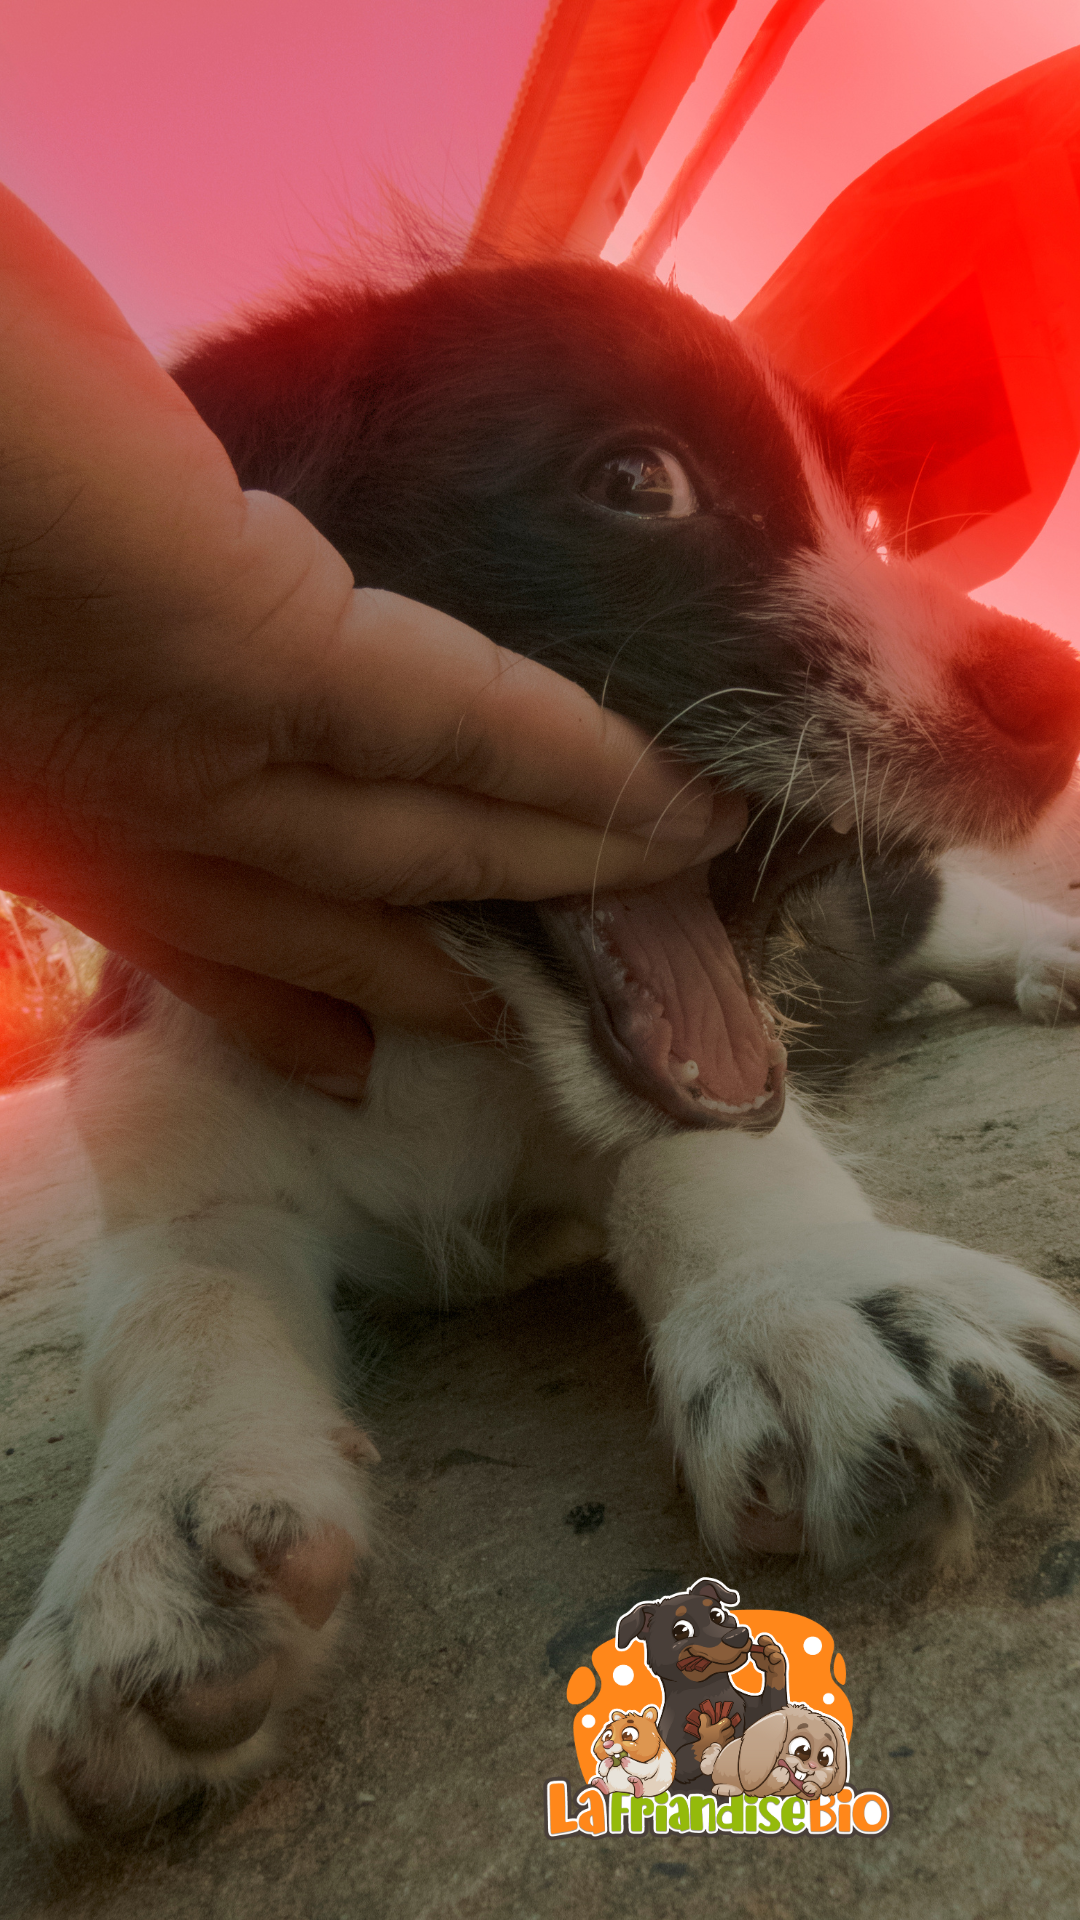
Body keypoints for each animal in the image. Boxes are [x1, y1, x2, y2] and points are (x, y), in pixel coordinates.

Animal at [6, 247, 1076, 1835]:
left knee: (957, 912)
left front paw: (810, 1301)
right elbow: (178, 1308)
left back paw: (1049, 959)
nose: (1055, 698)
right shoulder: (177, 1154)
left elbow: (703, 1151)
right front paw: (156, 1542)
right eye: (639, 482)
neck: (447, 1016)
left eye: (871, 518)